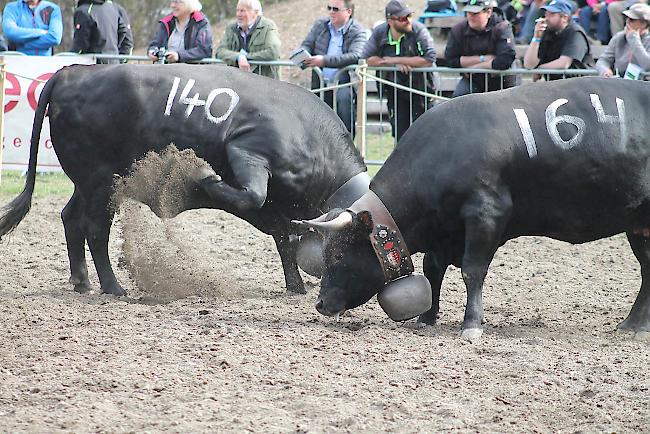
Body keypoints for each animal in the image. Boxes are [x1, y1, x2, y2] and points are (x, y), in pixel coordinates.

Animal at [0, 63, 364, 294]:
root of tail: (71, 72)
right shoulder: (247, 150)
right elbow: (252, 195)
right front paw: (201, 176)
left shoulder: (280, 212)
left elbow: (285, 240)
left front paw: (295, 287)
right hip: (101, 183)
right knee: (94, 228)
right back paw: (113, 287)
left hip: (88, 183)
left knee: (71, 218)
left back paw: (82, 281)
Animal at [308, 77, 648, 340]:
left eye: (337, 255)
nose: (320, 303)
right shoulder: (443, 231)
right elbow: (433, 269)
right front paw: (427, 318)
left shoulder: (485, 215)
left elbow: (472, 271)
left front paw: (470, 325)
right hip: (639, 227)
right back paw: (633, 325)